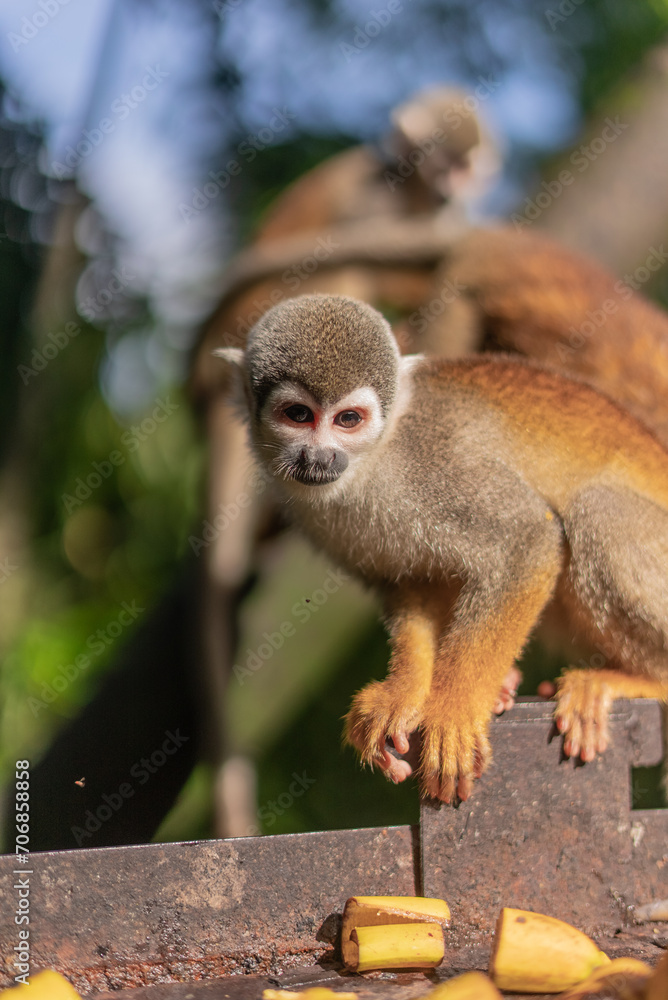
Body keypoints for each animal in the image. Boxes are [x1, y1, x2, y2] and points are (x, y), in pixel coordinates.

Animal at [217, 293, 668, 804]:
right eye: (298, 415)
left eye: (348, 419)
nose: (319, 456)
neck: (373, 465)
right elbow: (410, 585)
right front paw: (404, 691)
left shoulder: (434, 469)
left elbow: (526, 541)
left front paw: (452, 709)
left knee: (596, 511)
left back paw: (639, 681)